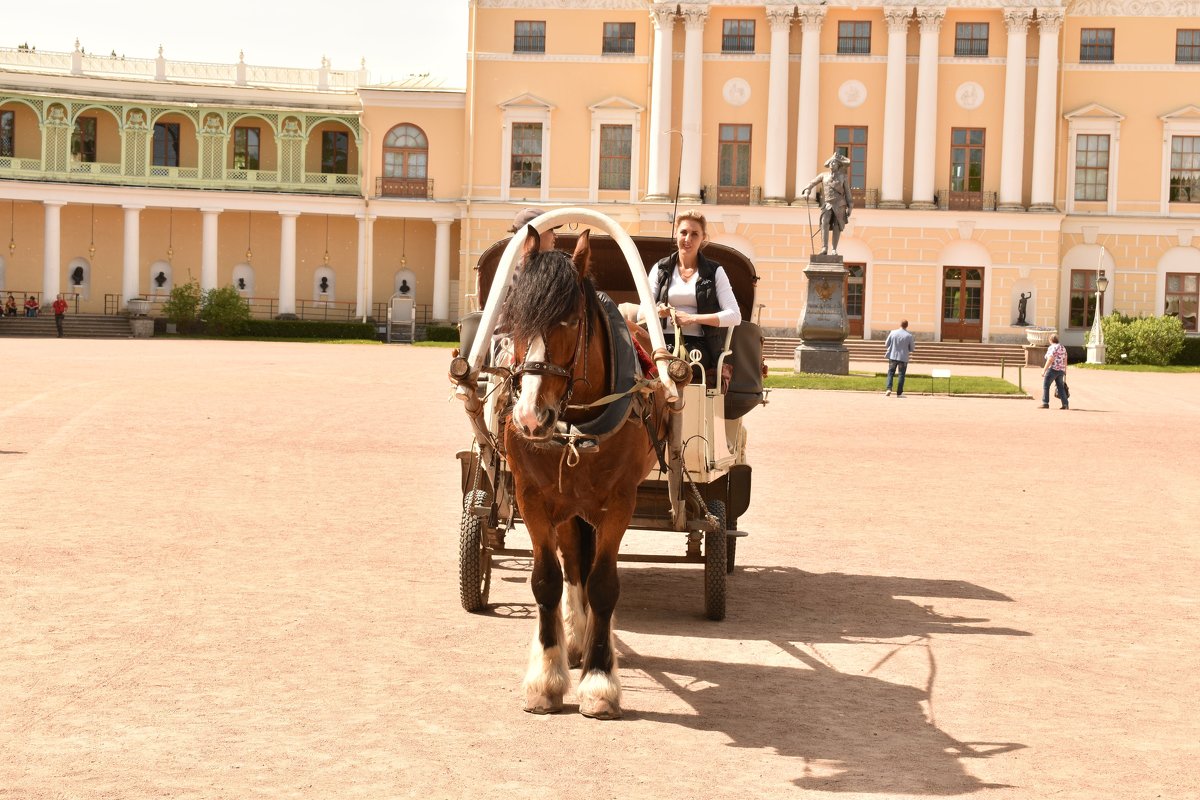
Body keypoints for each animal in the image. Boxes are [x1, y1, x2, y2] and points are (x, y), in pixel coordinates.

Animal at [499, 224, 667, 719]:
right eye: (511, 318)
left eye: (571, 320)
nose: (531, 417)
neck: (573, 427)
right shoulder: (532, 498)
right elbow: (546, 581)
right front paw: (546, 676)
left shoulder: (620, 502)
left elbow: (605, 585)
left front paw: (599, 679)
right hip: (568, 505)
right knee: (574, 564)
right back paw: (575, 639)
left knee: (589, 572)